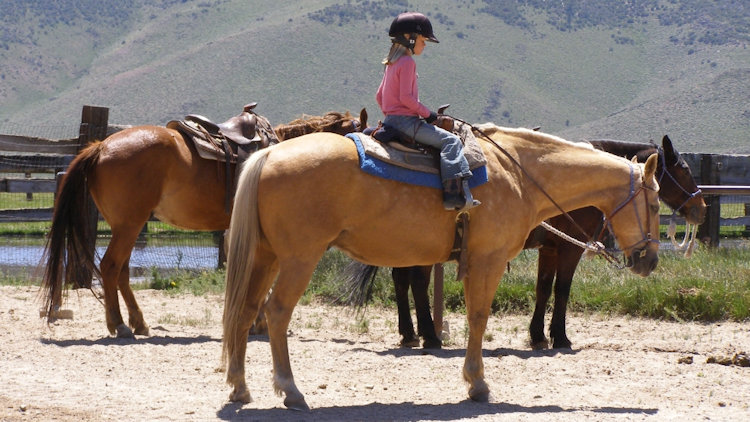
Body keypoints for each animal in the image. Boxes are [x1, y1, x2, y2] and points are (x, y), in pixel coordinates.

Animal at [43, 107, 368, 338]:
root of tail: (100, 146)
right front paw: (257, 322)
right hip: (129, 224)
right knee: (111, 267)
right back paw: (120, 326)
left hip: (127, 226)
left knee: (121, 271)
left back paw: (138, 322)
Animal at [220, 124, 660, 408]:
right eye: (655, 204)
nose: (650, 260)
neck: (518, 173)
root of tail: (269, 154)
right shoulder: (489, 260)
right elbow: (479, 317)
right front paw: (477, 384)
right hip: (298, 258)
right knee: (276, 313)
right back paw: (291, 391)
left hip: (264, 256)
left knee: (243, 311)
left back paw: (240, 388)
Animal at [350, 134, 708, 350]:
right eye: (684, 169)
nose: (701, 209)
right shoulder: (569, 248)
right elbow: (561, 289)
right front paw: (559, 337)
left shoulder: (550, 248)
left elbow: (543, 288)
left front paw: (537, 335)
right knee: (417, 282)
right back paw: (428, 336)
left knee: (403, 279)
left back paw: (411, 333)